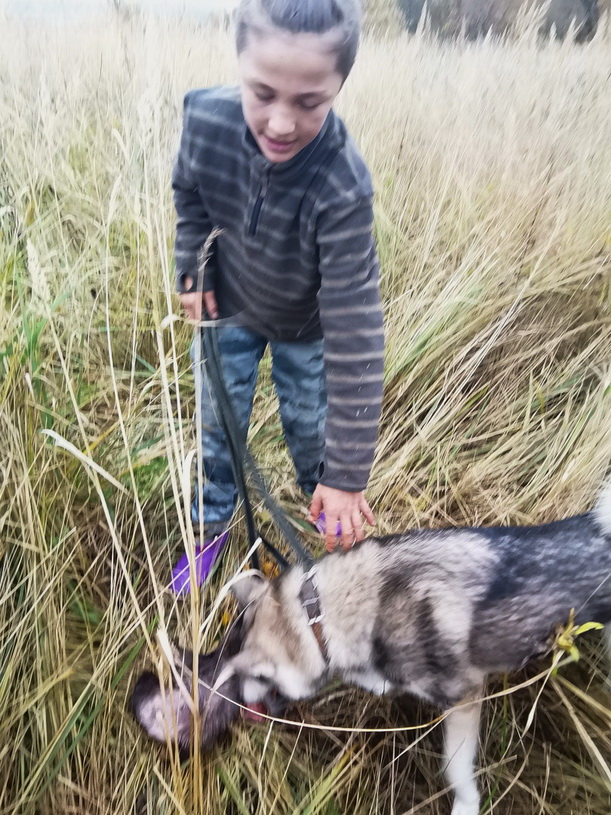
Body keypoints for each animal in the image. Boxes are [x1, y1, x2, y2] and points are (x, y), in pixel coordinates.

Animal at [133, 483, 611, 814]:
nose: (147, 689)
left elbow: (455, 767)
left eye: (254, 678)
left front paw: (465, 804)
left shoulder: (464, 696)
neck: (321, 617)